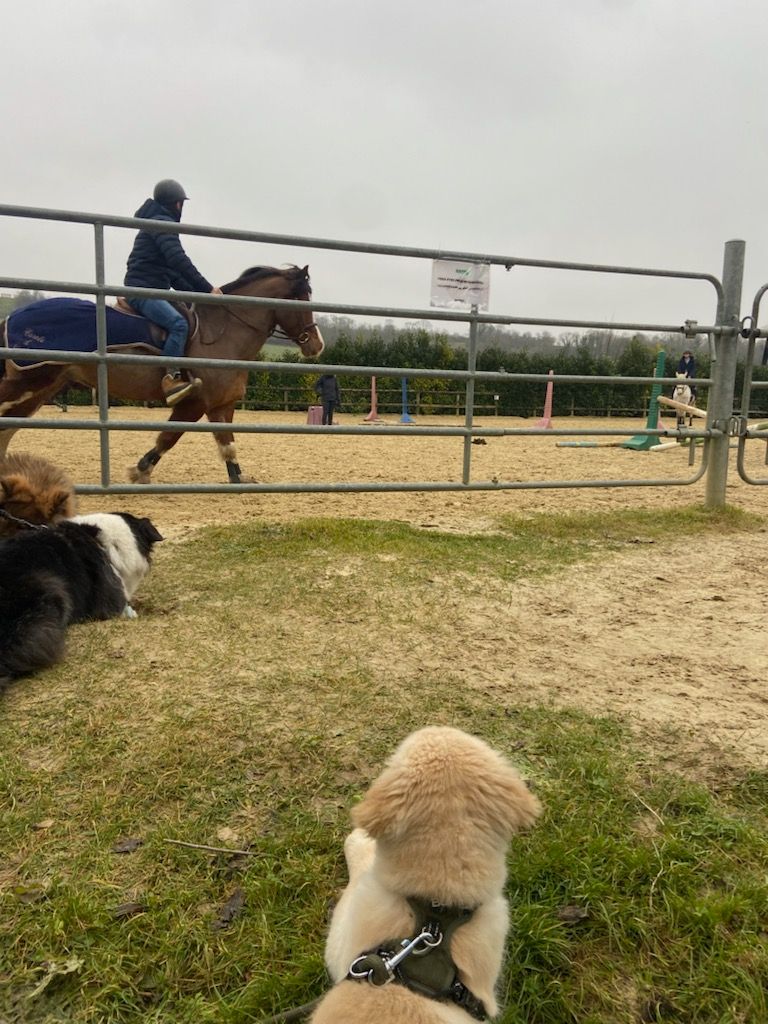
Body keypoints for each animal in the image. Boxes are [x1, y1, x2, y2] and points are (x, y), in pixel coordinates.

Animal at [0, 268, 323, 483]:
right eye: (302, 300)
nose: (316, 345)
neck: (223, 333)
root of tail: (12, 316)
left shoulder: (221, 405)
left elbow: (227, 445)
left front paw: (238, 478)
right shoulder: (195, 403)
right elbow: (169, 437)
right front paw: (140, 471)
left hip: (40, 389)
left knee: (9, 426)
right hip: (26, 382)